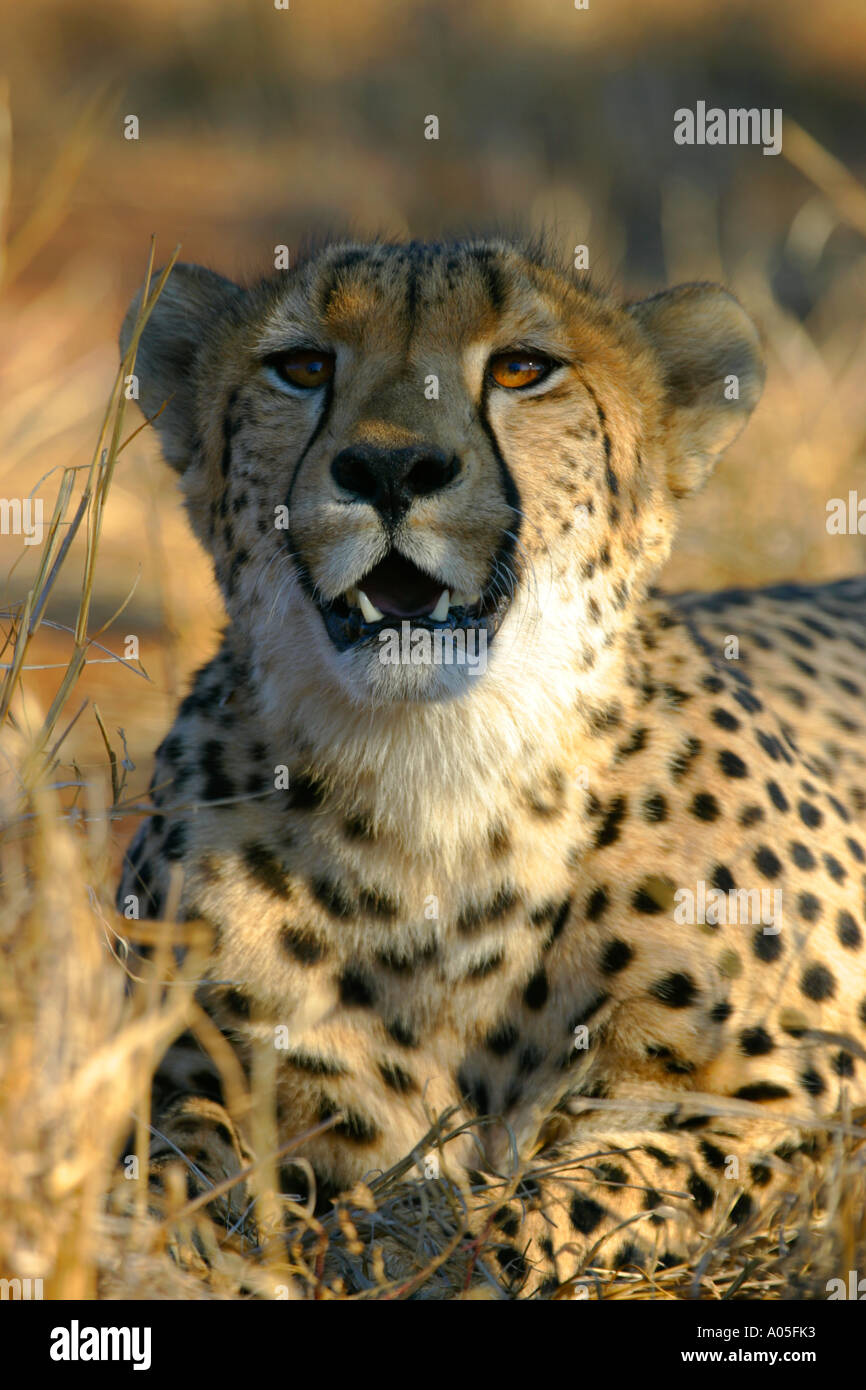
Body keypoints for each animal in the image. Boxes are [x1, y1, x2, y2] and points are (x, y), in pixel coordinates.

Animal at [117, 235, 866, 1298]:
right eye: (301, 365)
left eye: (520, 368)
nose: (390, 466)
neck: (437, 781)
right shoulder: (184, 1073)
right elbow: (177, 1171)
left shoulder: (802, 1086)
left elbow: (619, 1175)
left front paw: (446, 1245)